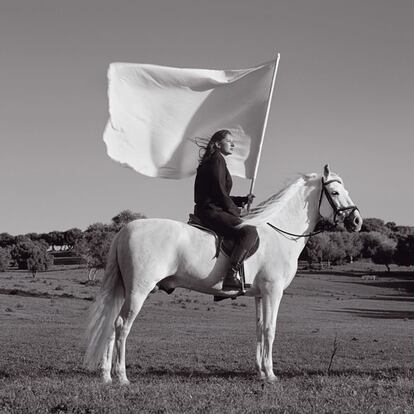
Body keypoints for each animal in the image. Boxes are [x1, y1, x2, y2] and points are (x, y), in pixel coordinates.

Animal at [84, 163, 362, 384]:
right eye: (335, 193)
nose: (357, 221)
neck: (279, 232)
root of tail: (125, 229)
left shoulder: (259, 295)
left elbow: (259, 329)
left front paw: (260, 372)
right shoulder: (273, 292)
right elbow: (270, 329)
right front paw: (271, 374)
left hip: (125, 291)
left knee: (112, 324)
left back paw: (107, 376)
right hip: (138, 291)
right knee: (122, 326)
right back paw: (121, 376)